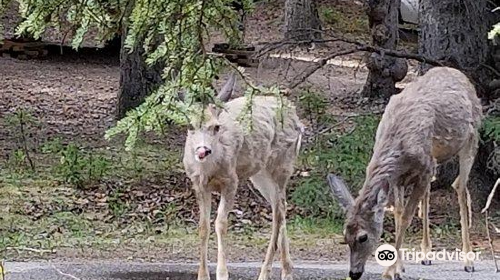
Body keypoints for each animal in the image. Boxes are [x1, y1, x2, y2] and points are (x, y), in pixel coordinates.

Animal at [182, 72, 302, 280]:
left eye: (216, 127)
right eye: (190, 125)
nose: (203, 150)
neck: (208, 170)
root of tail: (295, 116)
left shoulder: (231, 181)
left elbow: (221, 223)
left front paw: (222, 273)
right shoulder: (198, 184)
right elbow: (203, 226)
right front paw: (202, 275)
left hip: (282, 164)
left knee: (278, 212)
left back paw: (265, 273)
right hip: (260, 174)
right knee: (281, 205)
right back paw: (287, 270)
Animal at [326, 66, 482, 280]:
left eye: (363, 237)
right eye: (344, 236)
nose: (354, 273)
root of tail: (458, 73)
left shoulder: (423, 169)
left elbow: (407, 217)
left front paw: (388, 272)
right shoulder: (399, 178)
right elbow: (399, 214)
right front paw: (398, 268)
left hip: (471, 138)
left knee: (459, 186)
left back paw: (468, 261)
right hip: (434, 158)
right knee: (430, 192)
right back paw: (426, 255)